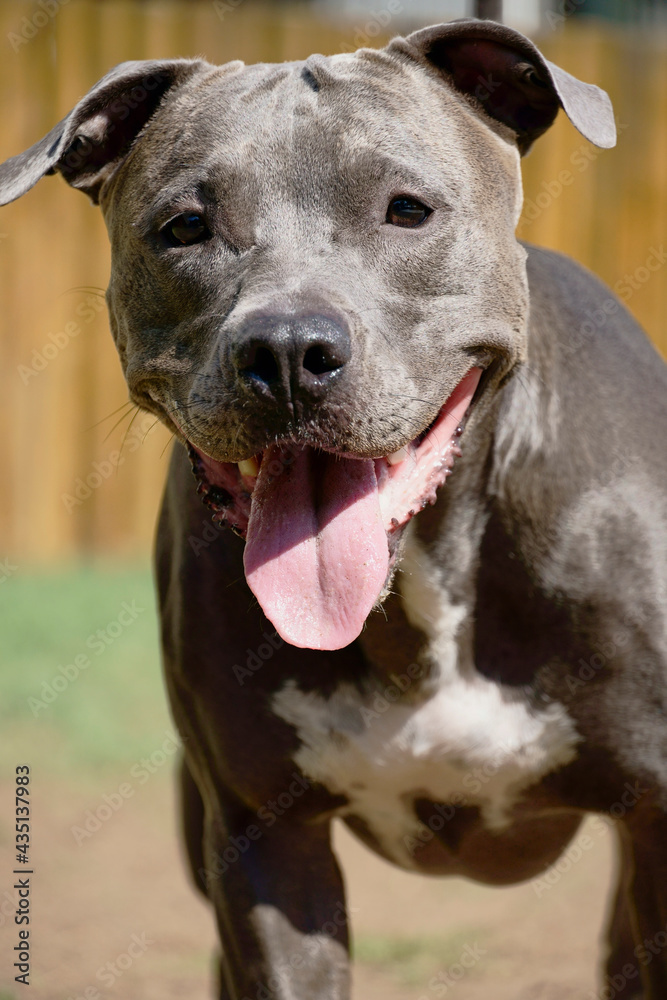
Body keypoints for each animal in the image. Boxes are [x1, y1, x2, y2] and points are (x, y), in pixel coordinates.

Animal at [1, 15, 667, 1000]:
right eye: (185, 227)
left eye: (406, 210)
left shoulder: (655, 816)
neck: (420, 580)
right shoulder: (264, 841)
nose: (285, 349)